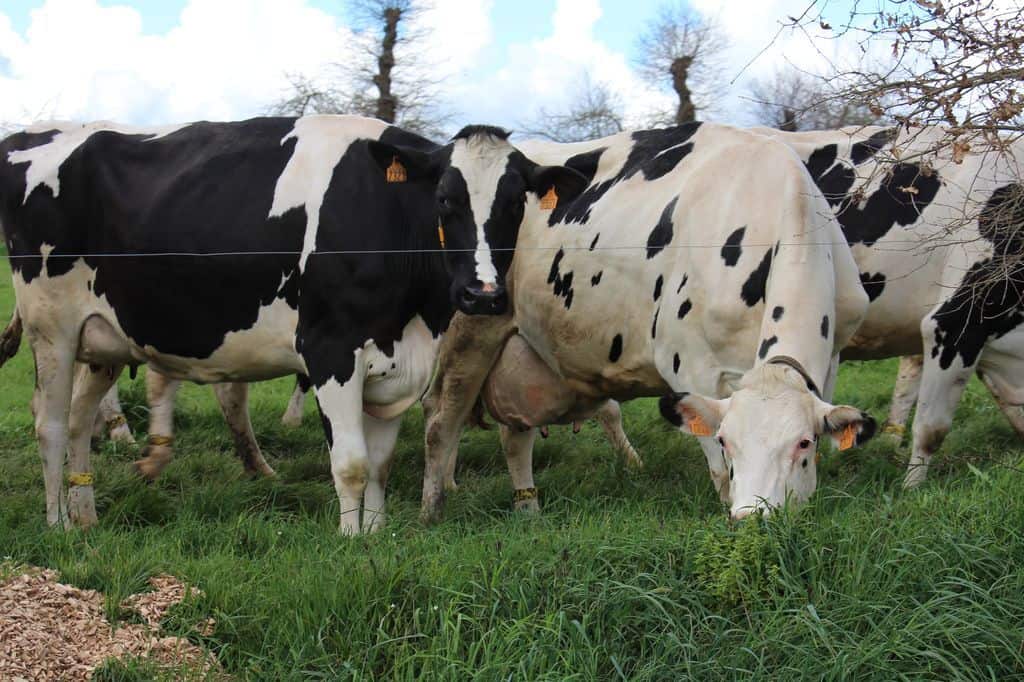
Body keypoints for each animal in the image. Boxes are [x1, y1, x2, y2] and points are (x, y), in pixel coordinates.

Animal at [0, 115, 585, 532]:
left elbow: (380, 463)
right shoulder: (331, 349)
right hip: (51, 329)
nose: (481, 294)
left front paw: (377, 536)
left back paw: (86, 517)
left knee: (80, 420)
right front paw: (352, 546)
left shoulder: (399, 363)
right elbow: (350, 463)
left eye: (516, 205)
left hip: (104, 337)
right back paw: (56, 524)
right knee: (49, 423)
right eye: (444, 199)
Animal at [415, 122, 880, 518]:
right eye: (728, 440)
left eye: (803, 443)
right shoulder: (688, 365)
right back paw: (432, 510)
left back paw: (529, 511)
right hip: (470, 332)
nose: (754, 517)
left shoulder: (828, 362)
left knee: (516, 433)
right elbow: (720, 473)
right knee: (440, 422)